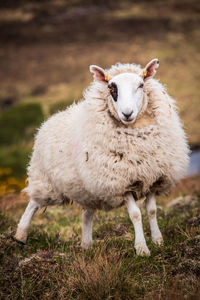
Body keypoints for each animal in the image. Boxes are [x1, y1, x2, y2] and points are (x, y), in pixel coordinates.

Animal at [15, 58, 189, 255]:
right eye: (112, 88)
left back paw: (86, 244)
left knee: (87, 214)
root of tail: (47, 122)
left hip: (88, 188)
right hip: (46, 180)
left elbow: (152, 211)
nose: (127, 113)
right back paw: (20, 235)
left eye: (141, 85)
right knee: (33, 202)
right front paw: (142, 248)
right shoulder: (120, 183)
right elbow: (135, 214)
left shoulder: (155, 177)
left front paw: (158, 241)